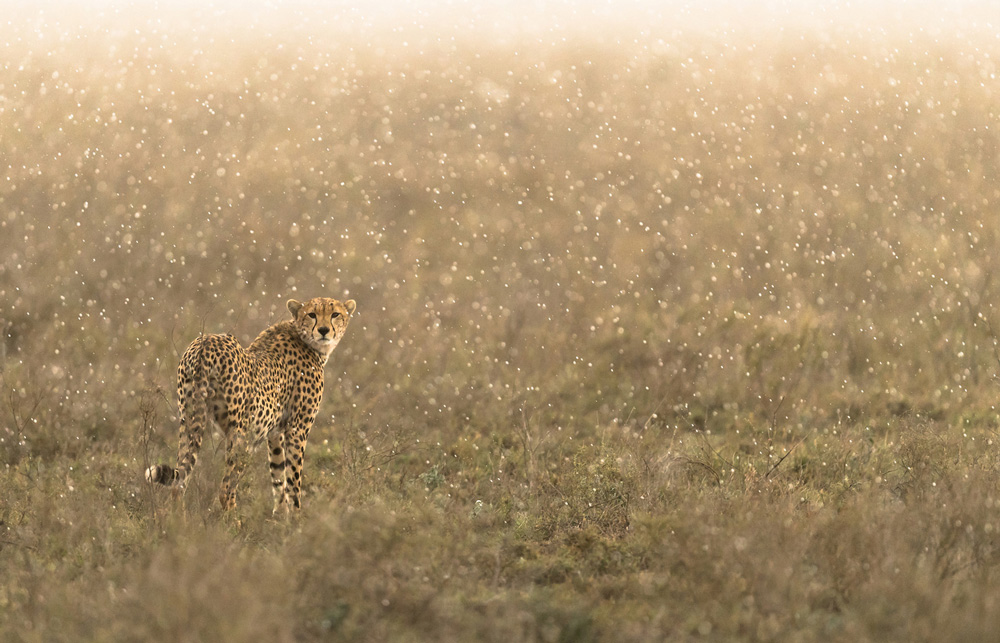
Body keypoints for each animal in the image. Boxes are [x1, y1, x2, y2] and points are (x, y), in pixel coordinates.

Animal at [145, 296, 356, 512]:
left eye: (335, 314)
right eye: (312, 314)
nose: (323, 330)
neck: (302, 336)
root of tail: (207, 342)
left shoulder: (275, 432)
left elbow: (278, 474)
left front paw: (280, 515)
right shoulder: (298, 429)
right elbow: (294, 480)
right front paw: (296, 516)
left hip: (188, 419)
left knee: (180, 483)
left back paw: (178, 520)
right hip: (241, 433)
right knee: (226, 489)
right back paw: (234, 519)